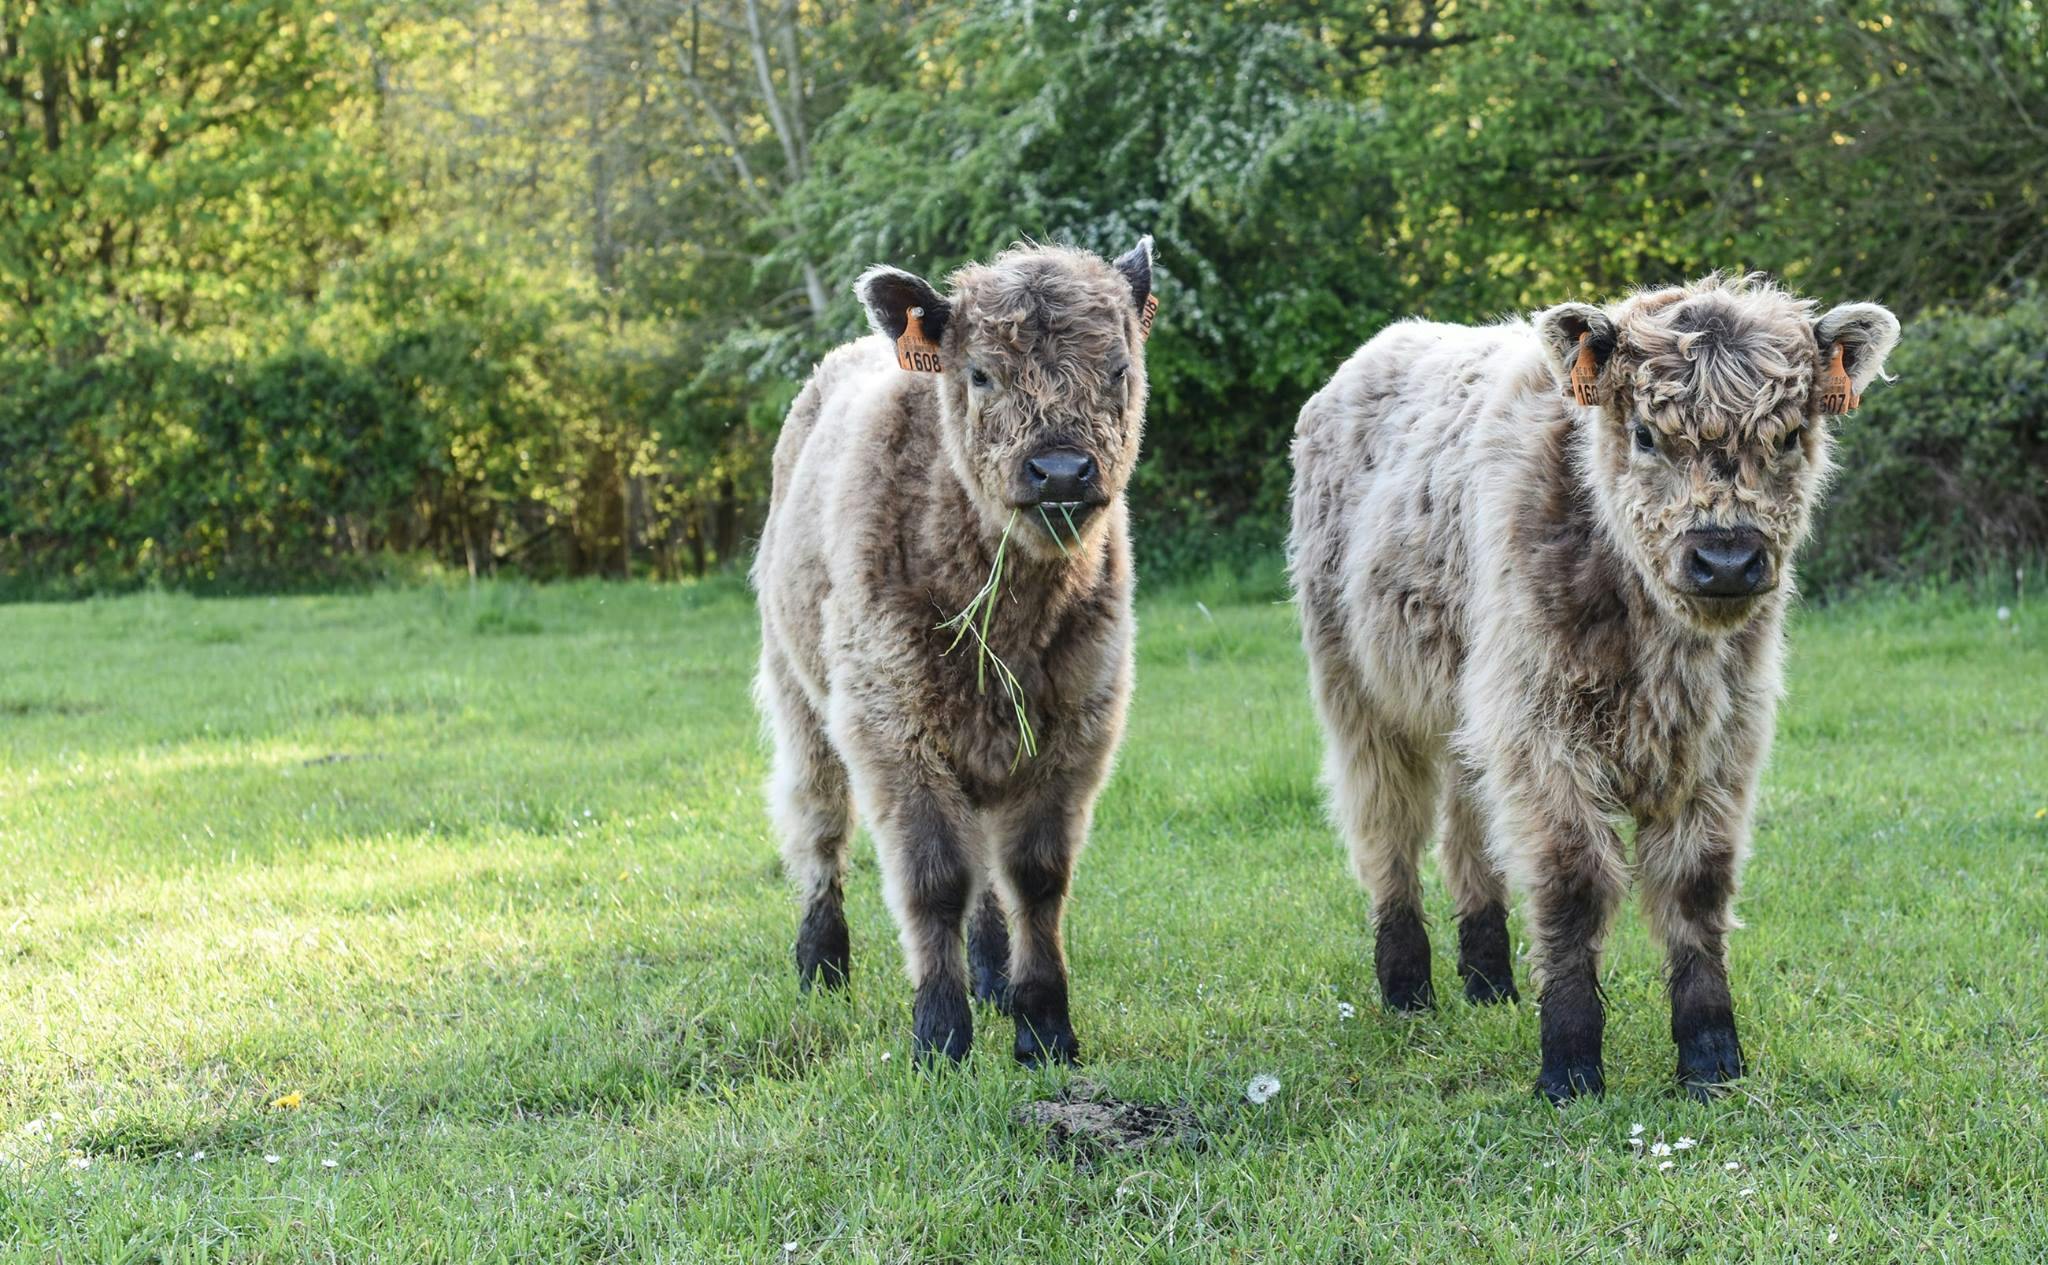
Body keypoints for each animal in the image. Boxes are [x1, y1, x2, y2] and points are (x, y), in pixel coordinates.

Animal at [753, 238, 1163, 1064]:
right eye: (979, 373)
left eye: (1118, 369)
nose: (1061, 471)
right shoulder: (890, 727)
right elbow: (934, 877)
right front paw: (940, 1034)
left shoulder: (1078, 722)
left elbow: (1034, 874)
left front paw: (1043, 1023)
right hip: (799, 694)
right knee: (818, 823)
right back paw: (821, 961)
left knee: (986, 874)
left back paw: (993, 973)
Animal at [1294, 274, 1900, 1097]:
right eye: (1644, 433)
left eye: (1786, 436)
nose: (1727, 558)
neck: (1660, 654)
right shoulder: (1541, 730)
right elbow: (1573, 884)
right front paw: (1570, 1061)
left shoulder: (1725, 739)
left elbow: (1697, 886)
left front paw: (1712, 1056)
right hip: (1359, 689)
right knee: (1386, 827)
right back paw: (1408, 987)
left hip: (1468, 705)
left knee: (1466, 827)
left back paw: (1487, 980)